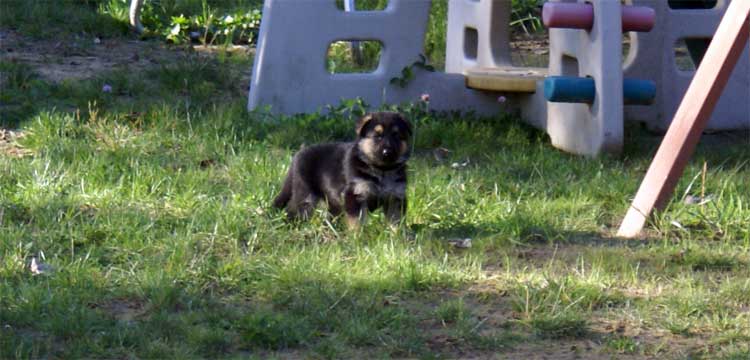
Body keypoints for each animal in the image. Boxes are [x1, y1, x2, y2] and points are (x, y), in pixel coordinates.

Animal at [274, 112, 412, 228]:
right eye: (377, 136)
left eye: (396, 136)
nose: (387, 152)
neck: (381, 170)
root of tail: (298, 154)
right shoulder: (355, 194)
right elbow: (356, 221)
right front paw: (358, 239)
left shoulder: (395, 198)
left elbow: (396, 221)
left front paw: (398, 237)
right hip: (306, 194)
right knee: (293, 210)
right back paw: (290, 226)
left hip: (332, 199)